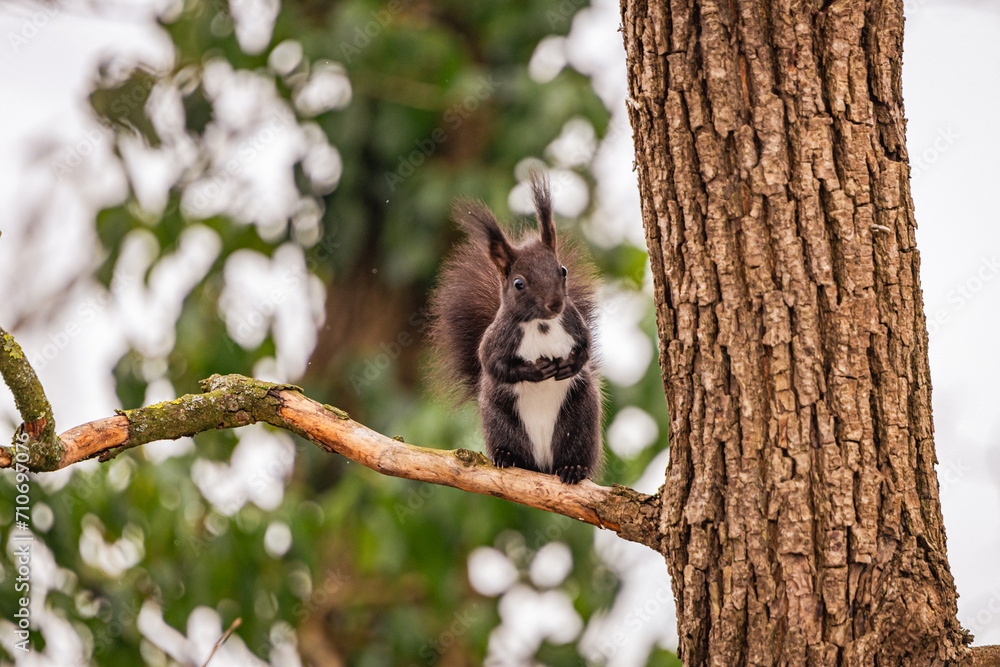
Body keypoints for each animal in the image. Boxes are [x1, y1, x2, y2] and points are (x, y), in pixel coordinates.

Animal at [429, 173, 602, 484]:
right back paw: (507, 456)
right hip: (501, 420)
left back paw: (573, 469)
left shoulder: (573, 322)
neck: (541, 323)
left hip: (581, 418)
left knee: (577, 452)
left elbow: (586, 347)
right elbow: (492, 364)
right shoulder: (498, 338)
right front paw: (535, 371)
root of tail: (543, 465)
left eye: (562, 270)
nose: (555, 303)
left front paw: (570, 365)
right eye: (519, 283)